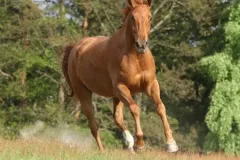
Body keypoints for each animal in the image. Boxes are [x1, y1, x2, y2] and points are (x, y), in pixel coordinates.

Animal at [62, 0, 178, 152]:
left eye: (150, 17)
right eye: (133, 18)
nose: (141, 45)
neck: (136, 58)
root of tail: (75, 48)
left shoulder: (151, 84)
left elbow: (160, 107)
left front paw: (171, 144)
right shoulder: (121, 87)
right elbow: (135, 109)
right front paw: (140, 143)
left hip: (116, 96)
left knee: (116, 117)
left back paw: (129, 143)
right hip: (84, 93)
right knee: (94, 125)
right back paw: (104, 150)